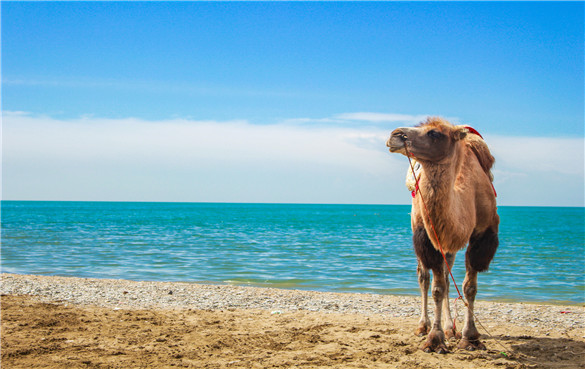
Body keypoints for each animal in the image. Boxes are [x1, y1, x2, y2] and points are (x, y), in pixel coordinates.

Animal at [386, 116, 500, 352]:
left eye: (434, 133)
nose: (395, 135)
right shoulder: (428, 237)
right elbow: (436, 288)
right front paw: (434, 338)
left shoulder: (482, 235)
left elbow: (469, 287)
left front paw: (470, 336)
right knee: (424, 277)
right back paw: (423, 325)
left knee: (448, 278)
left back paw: (450, 328)